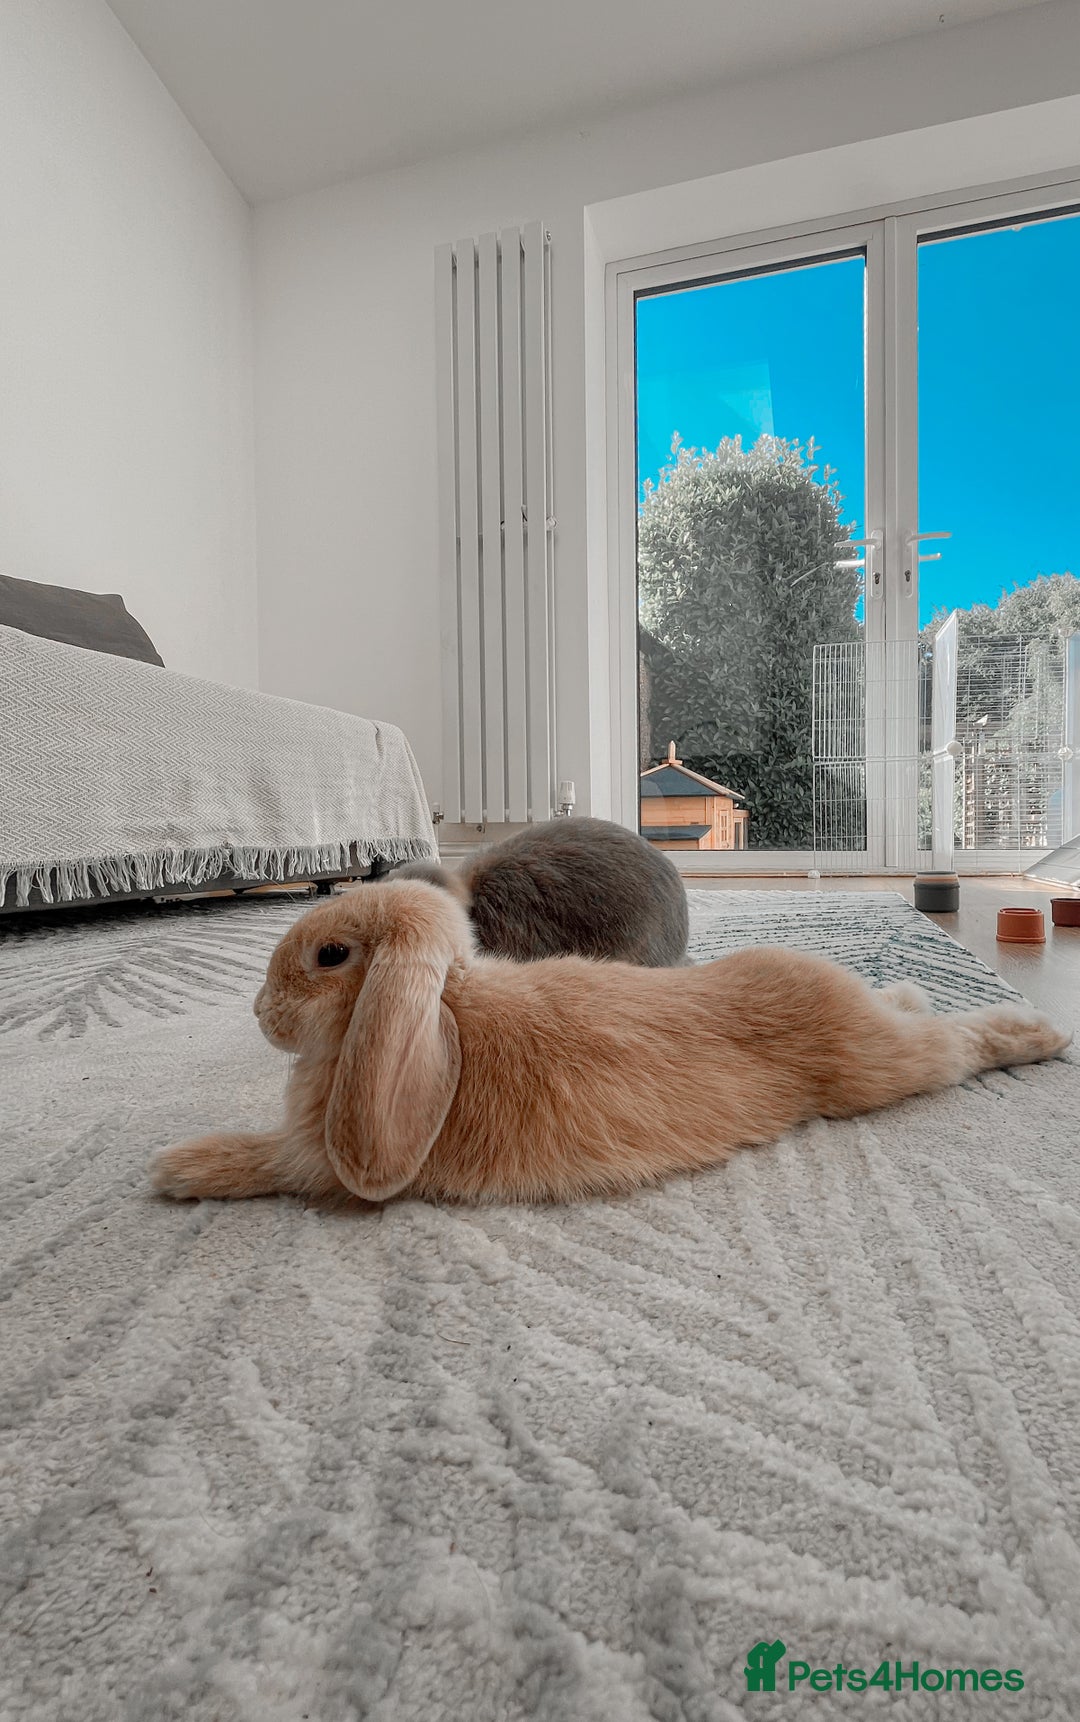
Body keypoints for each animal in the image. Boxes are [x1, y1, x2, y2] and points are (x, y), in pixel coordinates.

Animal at [151, 880, 1071, 1208]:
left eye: (331, 957)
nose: (262, 1012)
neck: (442, 1009)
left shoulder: (312, 1157)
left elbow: (262, 1159)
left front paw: (177, 1168)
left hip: (877, 1068)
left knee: (954, 1044)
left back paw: (1041, 1032)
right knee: (915, 1011)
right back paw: (919, 992)